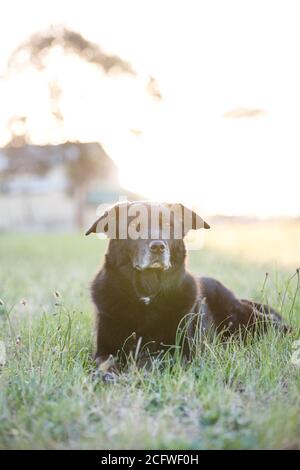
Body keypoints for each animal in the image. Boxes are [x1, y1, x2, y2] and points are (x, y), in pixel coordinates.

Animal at [85, 200, 288, 376]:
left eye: (168, 224)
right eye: (135, 225)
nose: (158, 246)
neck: (148, 293)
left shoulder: (181, 352)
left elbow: (153, 360)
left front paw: (136, 372)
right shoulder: (104, 349)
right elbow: (106, 362)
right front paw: (108, 375)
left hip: (245, 319)